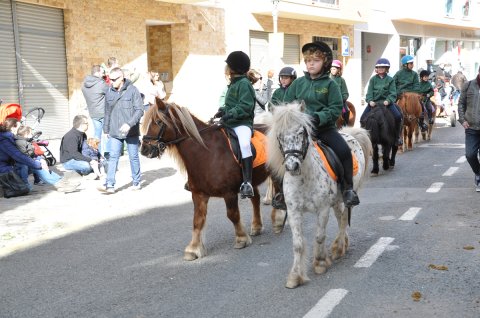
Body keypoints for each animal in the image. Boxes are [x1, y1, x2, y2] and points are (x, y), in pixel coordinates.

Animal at [139, 99, 284, 260]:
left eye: (158, 122)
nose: (144, 149)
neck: (207, 153)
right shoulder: (198, 194)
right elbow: (197, 220)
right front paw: (194, 248)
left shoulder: (229, 193)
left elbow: (233, 215)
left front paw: (241, 238)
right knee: (256, 198)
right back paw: (257, 226)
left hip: (275, 172)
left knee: (279, 192)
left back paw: (278, 220)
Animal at [266, 102, 372, 288]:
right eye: (280, 136)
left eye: (301, 132)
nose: (292, 166)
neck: (304, 178)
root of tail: (350, 133)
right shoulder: (293, 212)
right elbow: (298, 244)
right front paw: (295, 276)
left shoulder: (322, 209)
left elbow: (320, 236)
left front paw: (320, 263)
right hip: (336, 201)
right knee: (341, 217)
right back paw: (341, 244)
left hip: (347, 195)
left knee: (343, 218)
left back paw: (338, 248)